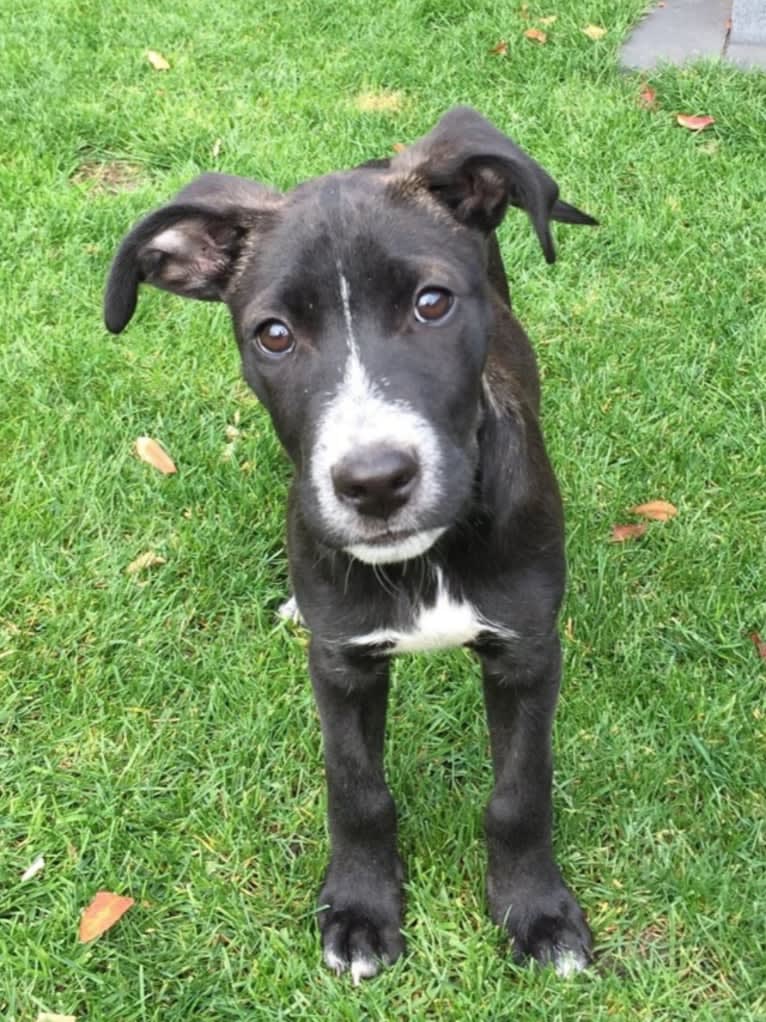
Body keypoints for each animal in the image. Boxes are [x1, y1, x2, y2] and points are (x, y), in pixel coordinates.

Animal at [105, 105, 600, 981]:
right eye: (273, 335)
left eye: (433, 303)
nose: (373, 482)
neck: (427, 556)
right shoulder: (342, 664)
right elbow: (357, 790)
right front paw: (362, 909)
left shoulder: (527, 653)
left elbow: (520, 793)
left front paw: (537, 912)